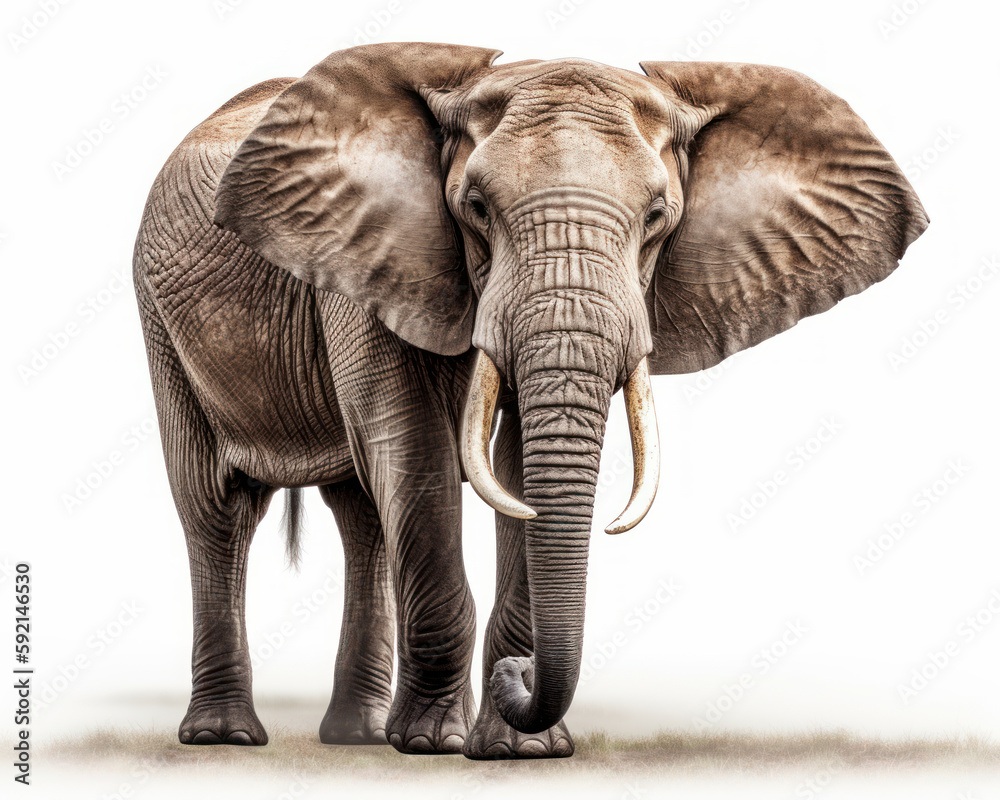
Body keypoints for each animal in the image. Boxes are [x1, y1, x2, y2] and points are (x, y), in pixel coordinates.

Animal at [133, 42, 927, 760]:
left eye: (658, 218)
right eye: (476, 209)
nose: (522, 673)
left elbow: (513, 466)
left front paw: (522, 749)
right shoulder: (364, 257)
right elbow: (412, 449)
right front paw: (433, 744)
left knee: (360, 516)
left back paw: (355, 737)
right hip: (159, 319)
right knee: (218, 509)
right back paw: (227, 737)